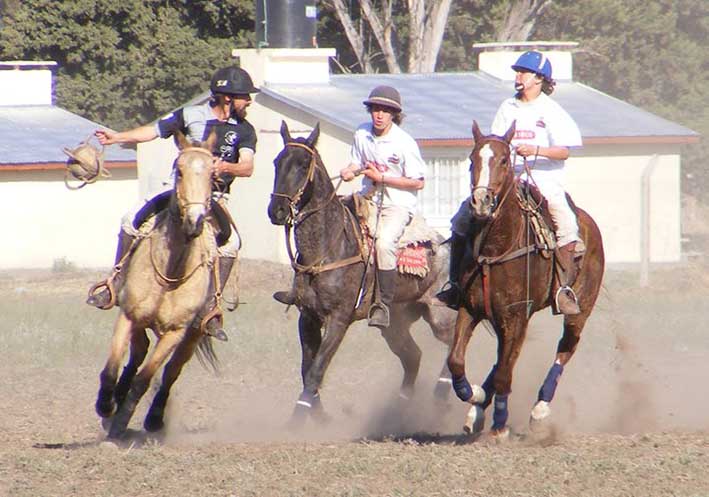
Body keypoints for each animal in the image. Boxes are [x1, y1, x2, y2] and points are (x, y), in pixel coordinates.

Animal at [95, 131, 220, 438]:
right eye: (180, 170)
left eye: (212, 173)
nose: (195, 221)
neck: (170, 270)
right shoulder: (129, 315)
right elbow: (112, 367)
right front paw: (106, 406)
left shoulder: (176, 332)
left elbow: (147, 378)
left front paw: (121, 421)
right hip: (141, 321)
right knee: (137, 353)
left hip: (193, 334)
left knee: (171, 371)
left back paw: (153, 418)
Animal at [266, 121, 454, 426]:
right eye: (277, 162)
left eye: (303, 164)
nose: (277, 210)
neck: (327, 247)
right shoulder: (308, 317)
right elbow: (307, 369)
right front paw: (319, 415)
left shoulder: (339, 319)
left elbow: (317, 369)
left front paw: (298, 420)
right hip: (395, 323)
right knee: (413, 356)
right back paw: (399, 410)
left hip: (441, 316)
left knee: (457, 342)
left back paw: (443, 395)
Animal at [448, 121, 604, 438]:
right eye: (472, 160)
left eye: (503, 160)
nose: (480, 203)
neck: (495, 248)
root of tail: (590, 224)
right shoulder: (470, 309)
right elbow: (456, 361)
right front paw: (475, 397)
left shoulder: (516, 315)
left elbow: (505, 373)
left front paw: (500, 425)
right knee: (502, 359)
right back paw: (478, 410)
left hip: (580, 308)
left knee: (565, 347)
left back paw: (540, 409)